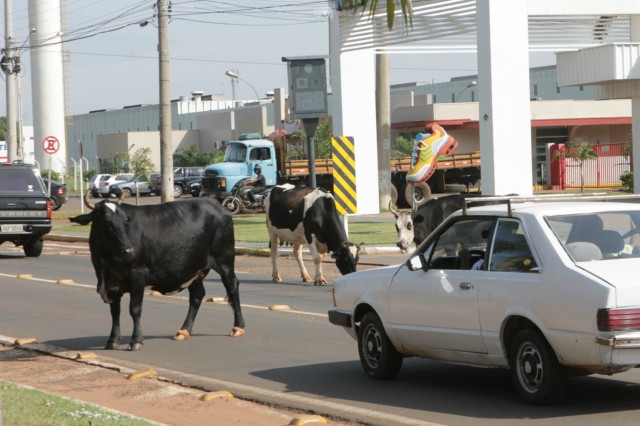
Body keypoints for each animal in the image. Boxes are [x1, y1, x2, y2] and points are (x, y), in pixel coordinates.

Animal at [70, 192, 245, 350]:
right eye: (106, 222)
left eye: (125, 221)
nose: (128, 250)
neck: (105, 264)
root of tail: (217, 205)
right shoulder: (112, 284)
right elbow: (115, 311)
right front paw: (112, 340)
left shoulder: (138, 274)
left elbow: (135, 309)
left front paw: (136, 341)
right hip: (194, 269)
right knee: (197, 295)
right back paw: (184, 330)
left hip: (225, 260)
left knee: (232, 286)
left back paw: (238, 327)